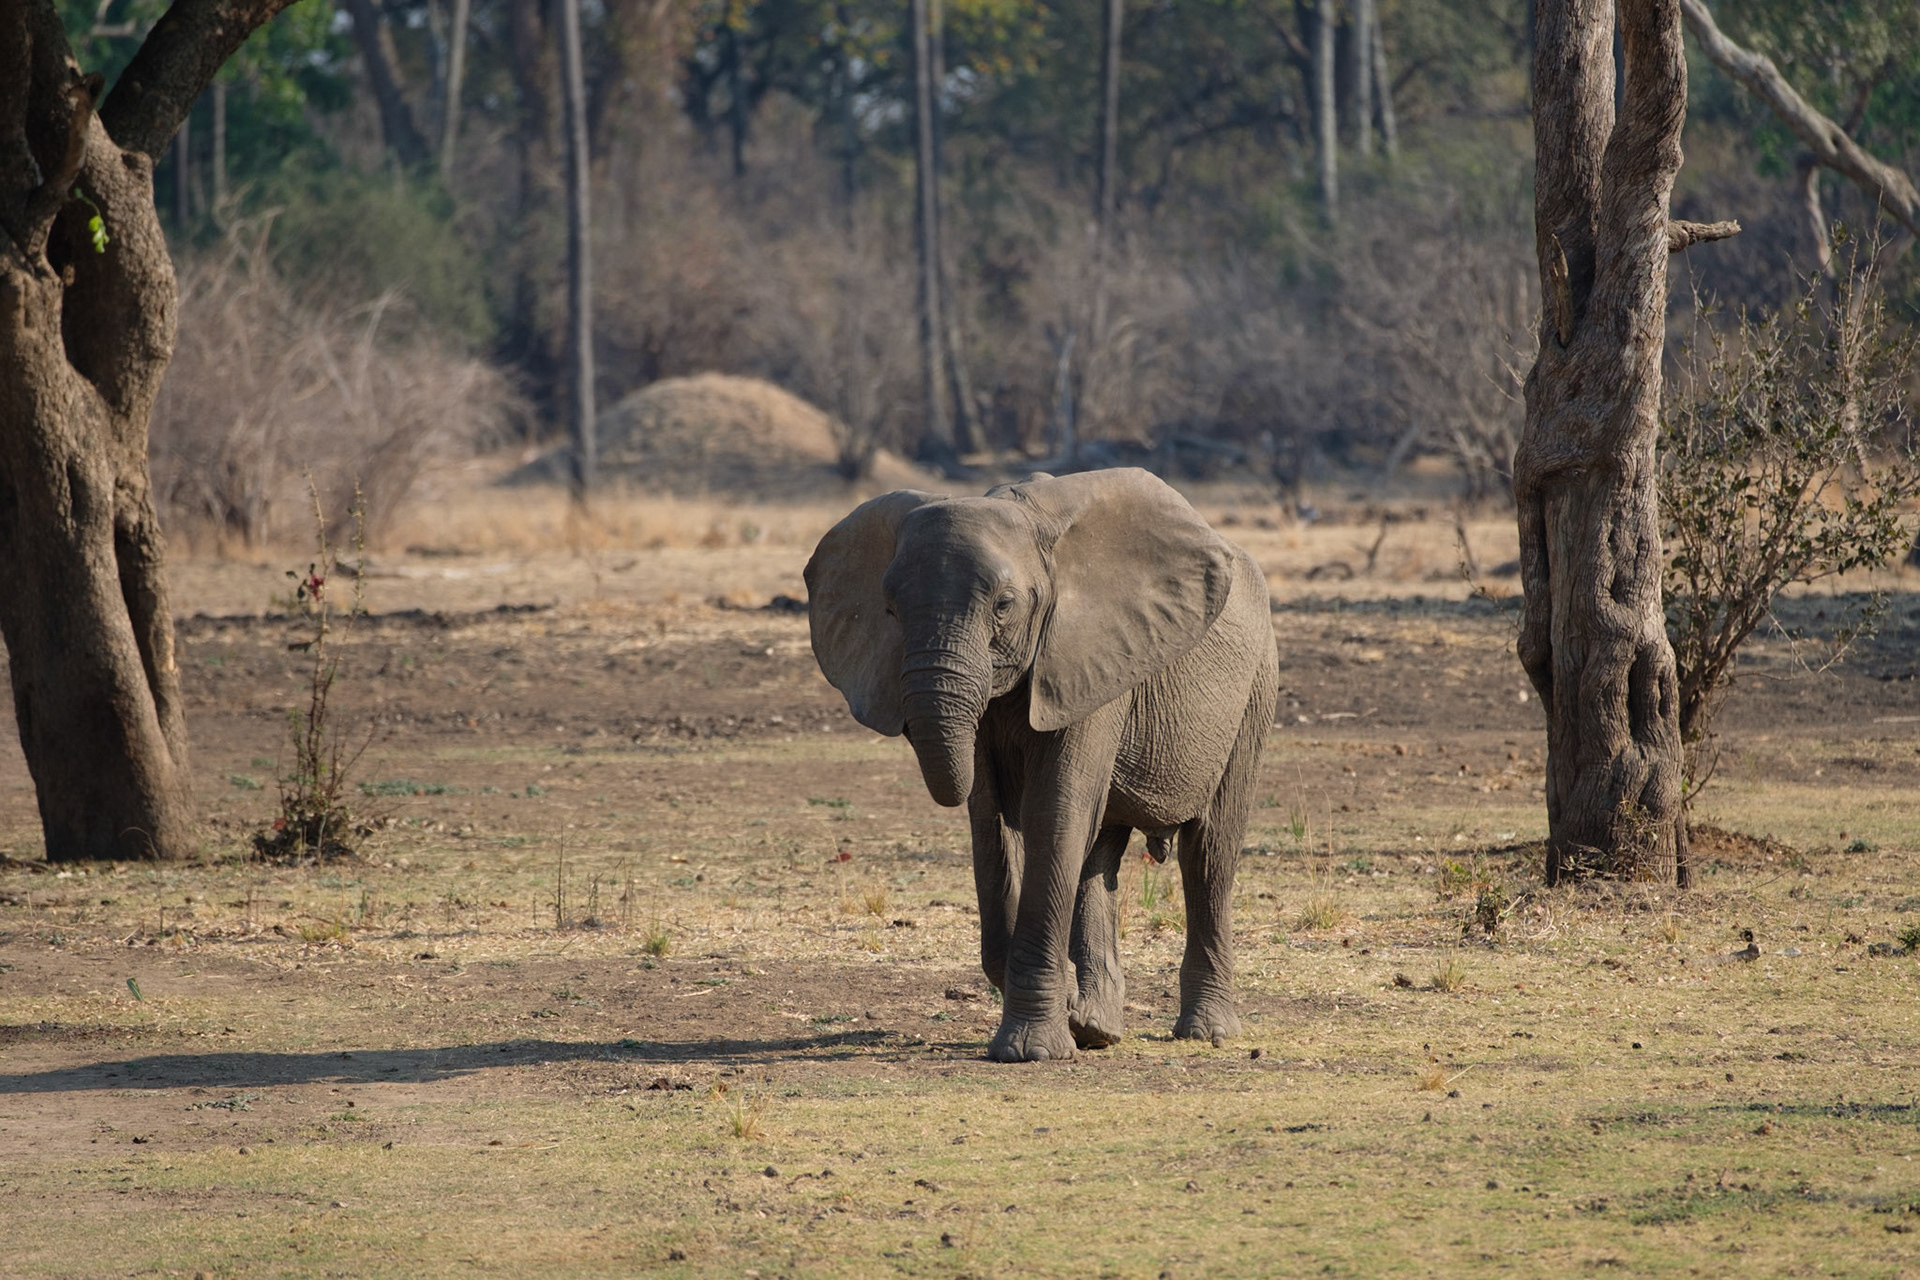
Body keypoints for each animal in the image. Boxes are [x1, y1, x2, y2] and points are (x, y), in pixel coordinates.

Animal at [804, 468, 1280, 1061]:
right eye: (889, 609)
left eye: (1004, 605)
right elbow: (991, 821)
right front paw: (1069, 1017)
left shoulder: (1090, 655)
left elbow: (1053, 811)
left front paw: (1032, 1051)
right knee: (1100, 853)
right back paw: (1099, 1028)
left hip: (1255, 687)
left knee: (1208, 851)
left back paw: (1205, 1033)